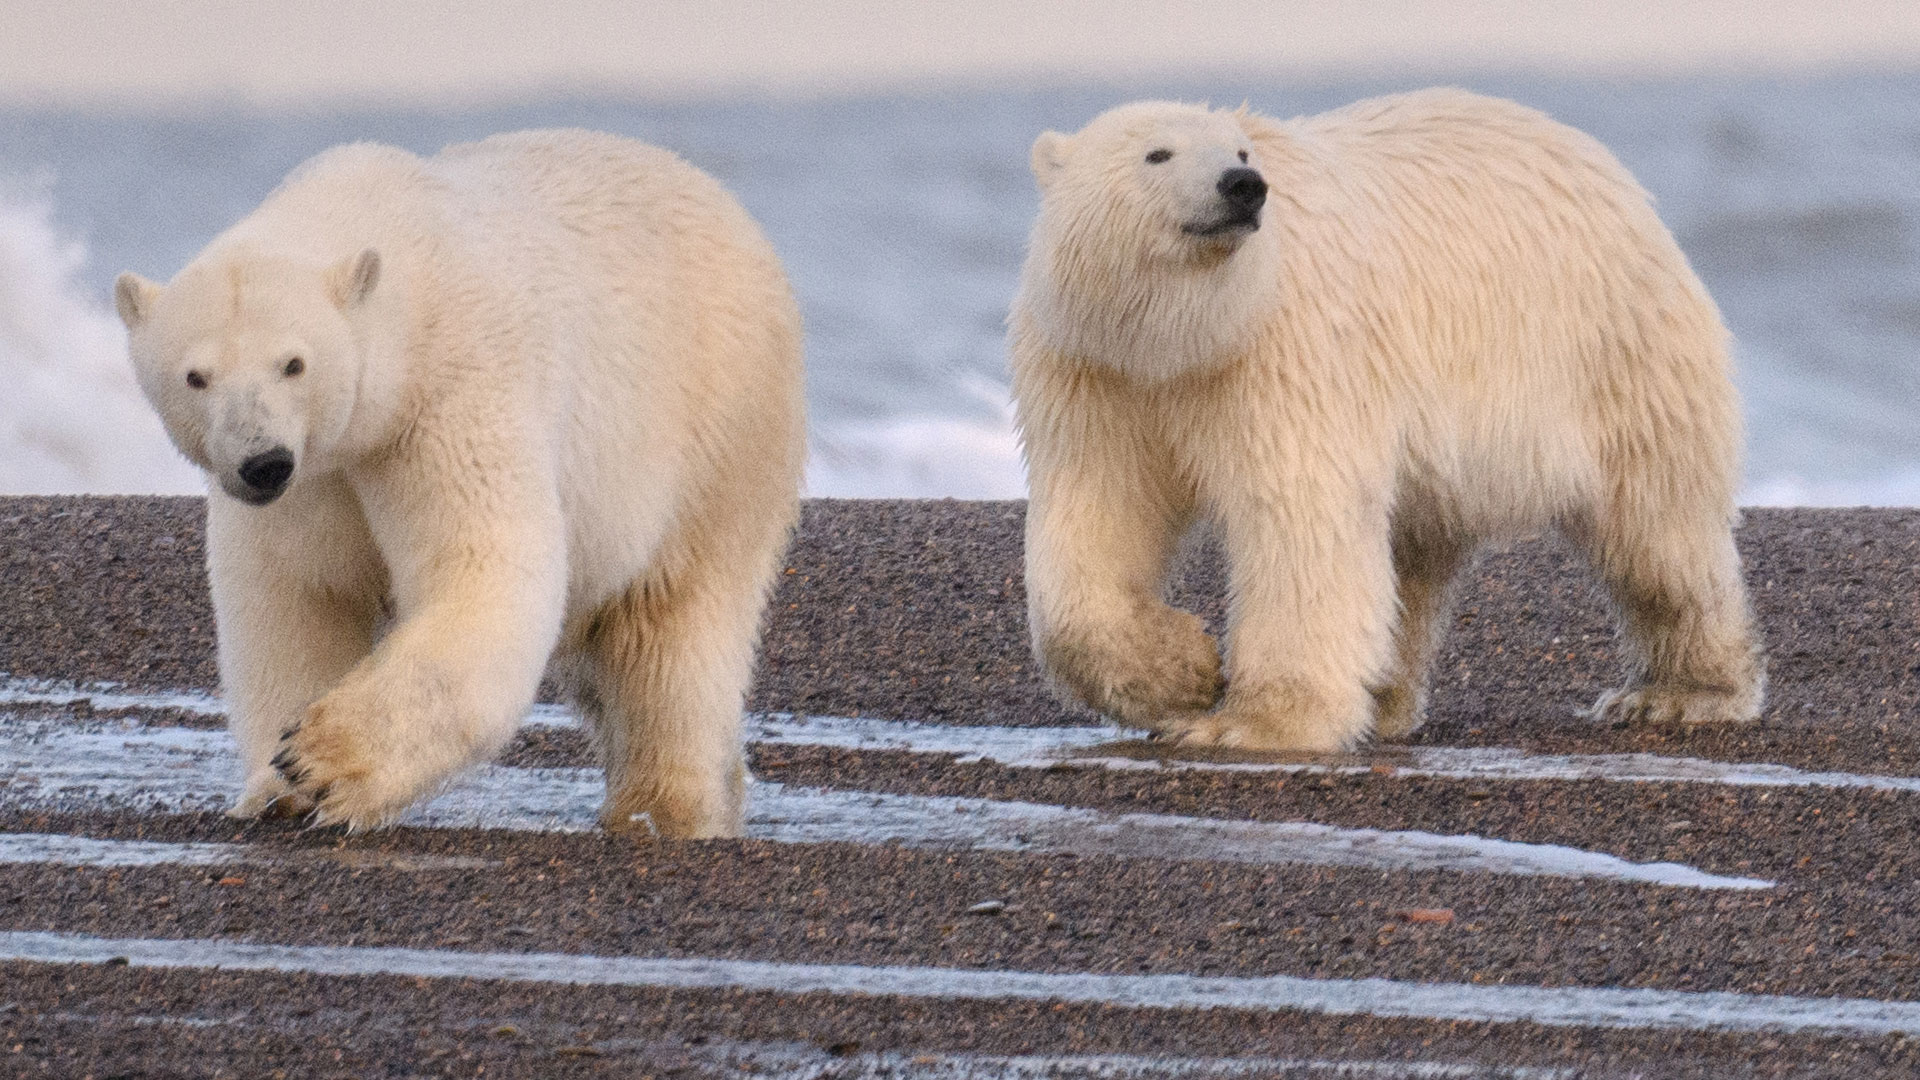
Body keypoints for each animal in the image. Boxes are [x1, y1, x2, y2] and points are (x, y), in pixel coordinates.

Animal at [114, 129, 806, 835]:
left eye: (293, 363)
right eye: (195, 376)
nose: (263, 462)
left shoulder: (451, 394)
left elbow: (483, 567)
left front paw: (323, 760)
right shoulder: (312, 481)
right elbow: (293, 600)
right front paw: (275, 789)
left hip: (714, 429)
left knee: (673, 633)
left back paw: (664, 805)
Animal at [1009, 90, 1764, 751]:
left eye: (1242, 149)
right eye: (1157, 153)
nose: (1241, 185)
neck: (1183, 337)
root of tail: (1614, 174)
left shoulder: (1286, 355)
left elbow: (1299, 516)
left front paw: (1251, 722)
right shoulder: (1097, 375)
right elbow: (1098, 513)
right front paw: (1182, 676)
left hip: (1610, 352)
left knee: (1657, 532)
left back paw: (1680, 692)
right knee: (1414, 555)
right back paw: (1388, 701)